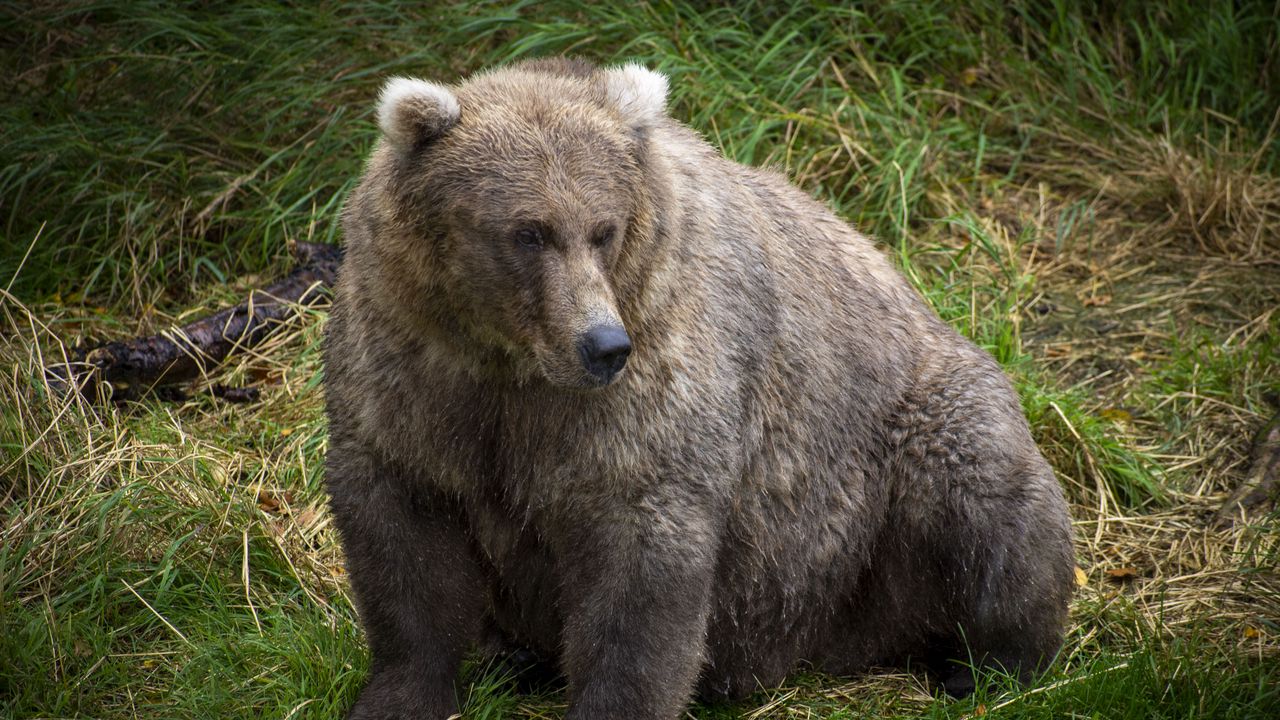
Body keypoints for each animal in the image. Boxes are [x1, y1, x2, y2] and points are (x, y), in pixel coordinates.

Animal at [322, 56, 1075, 720]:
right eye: (527, 231)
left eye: (604, 229)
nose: (602, 345)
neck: (511, 363)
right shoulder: (414, 375)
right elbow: (405, 547)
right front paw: (399, 696)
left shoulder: (649, 380)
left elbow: (641, 565)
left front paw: (612, 703)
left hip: (909, 440)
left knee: (984, 505)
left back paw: (987, 664)